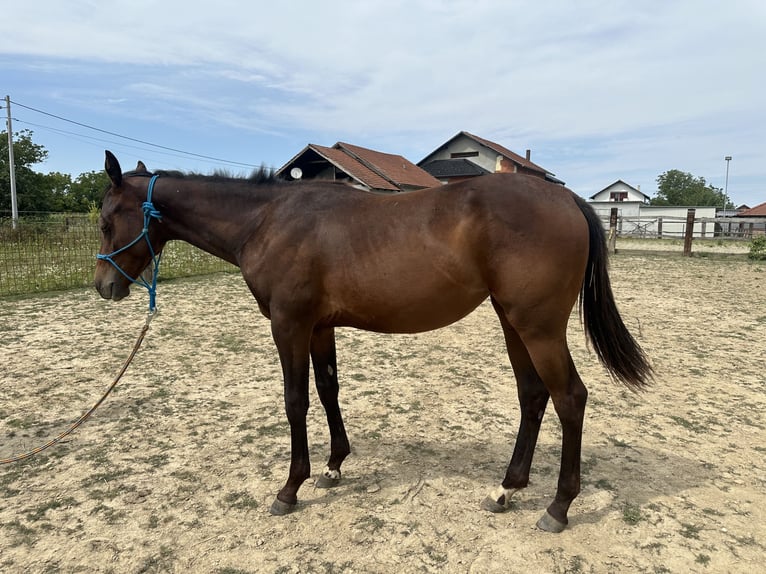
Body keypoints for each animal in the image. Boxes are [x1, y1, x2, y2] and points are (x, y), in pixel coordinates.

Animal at [94, 150, 652, 532]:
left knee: (569, 398)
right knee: (533, 396)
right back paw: (507, 489)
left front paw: (290, 488)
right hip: (513, 322)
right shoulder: (319, 327)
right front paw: (334, 466)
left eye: (104, 221)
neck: (269, 220)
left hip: (538, 327)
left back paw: (558, 507)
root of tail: (566, 198)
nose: (104, 286)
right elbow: (327, 391)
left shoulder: (289, 325)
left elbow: (295, 401)